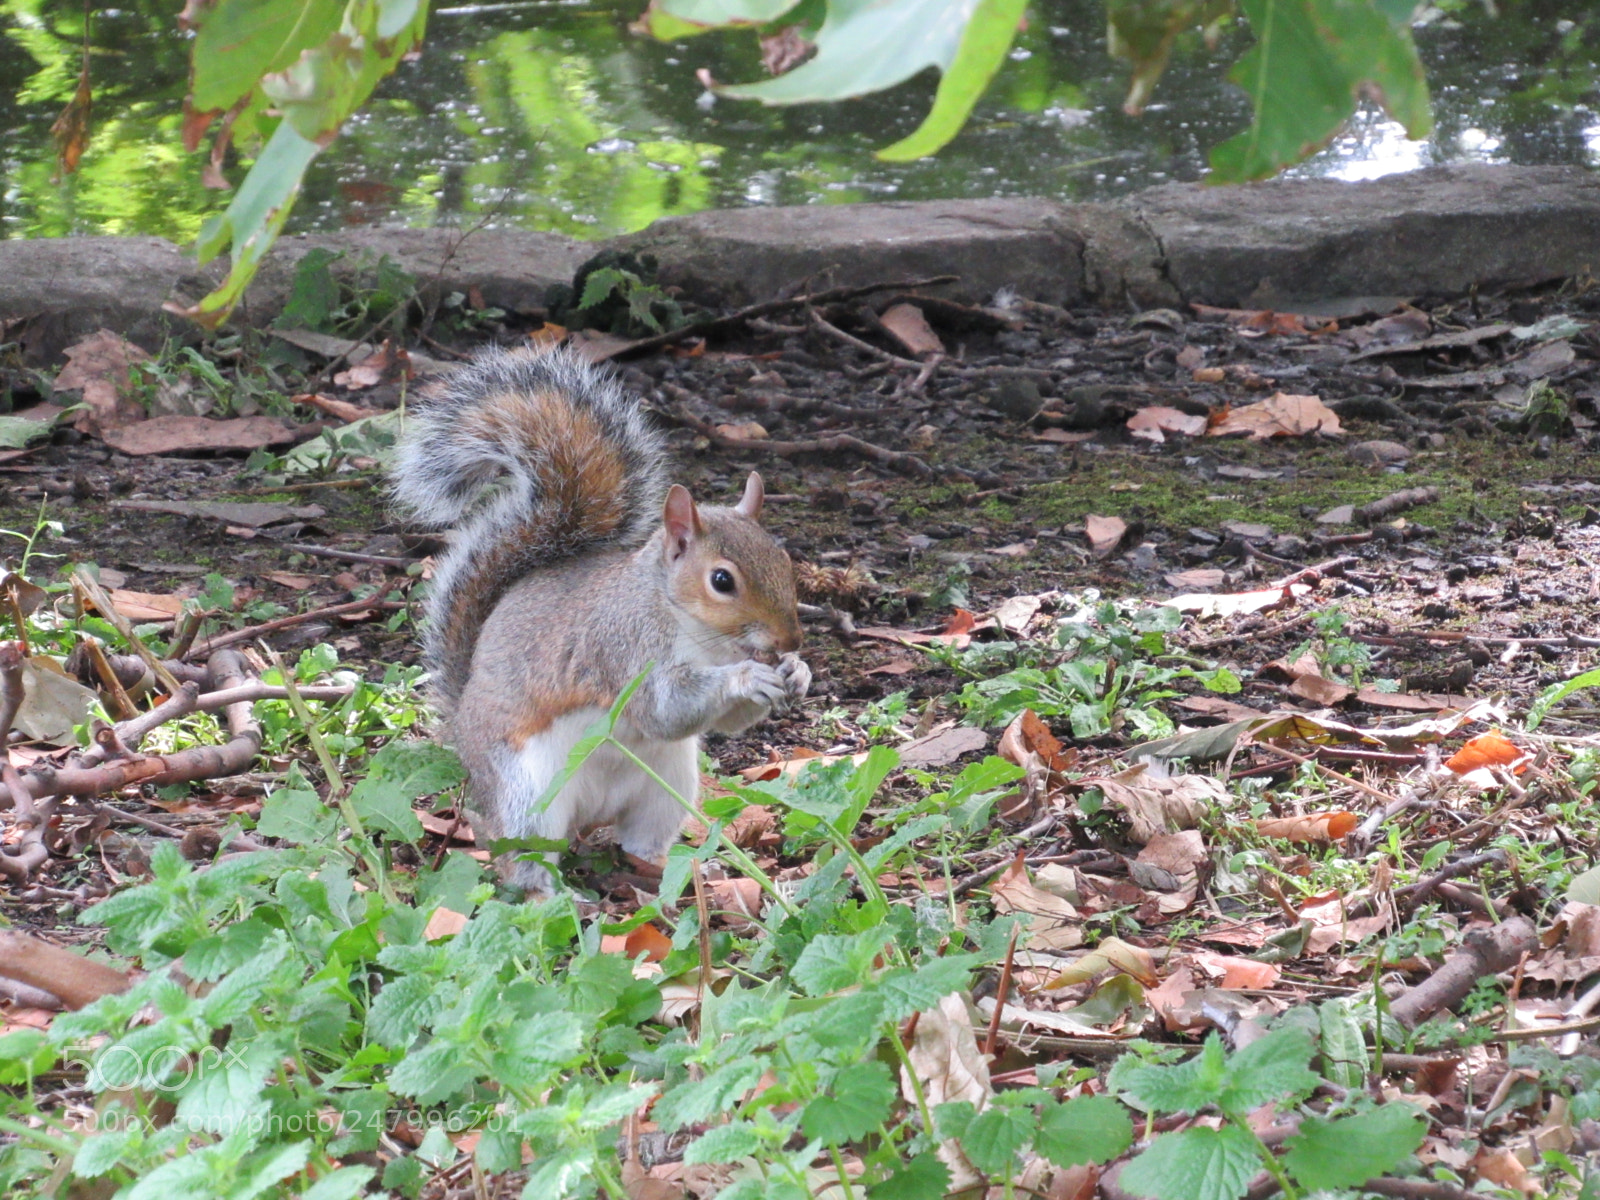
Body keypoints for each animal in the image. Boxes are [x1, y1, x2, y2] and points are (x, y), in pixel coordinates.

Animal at [389, 345, 810, 892]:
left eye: (784, 560)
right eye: (722, 580)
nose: (790, 639)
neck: (701, 636)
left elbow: (727, 721)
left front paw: (797, 672)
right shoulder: (624, 649)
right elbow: (664, 708)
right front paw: (746, 677)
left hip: (667, 785)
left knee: (642, 839)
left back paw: (671, 871)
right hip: (527, 793)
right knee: (525, 861)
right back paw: (556, 894)